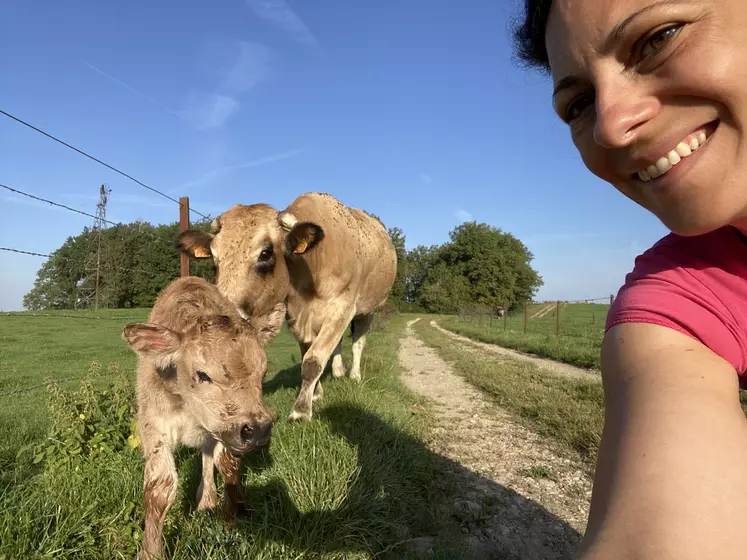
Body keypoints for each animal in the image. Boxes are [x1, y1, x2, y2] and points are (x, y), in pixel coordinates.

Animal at [177, 191, 398, 420]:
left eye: (265, 254)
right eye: (214, 258)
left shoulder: (342, 307)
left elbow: (313, 360)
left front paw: (301, 410)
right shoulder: (297, 317)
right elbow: (308, 354)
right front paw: (316, 394)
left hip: (368, 309)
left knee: (358, 343)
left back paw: (354, 375)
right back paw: (338, 372)